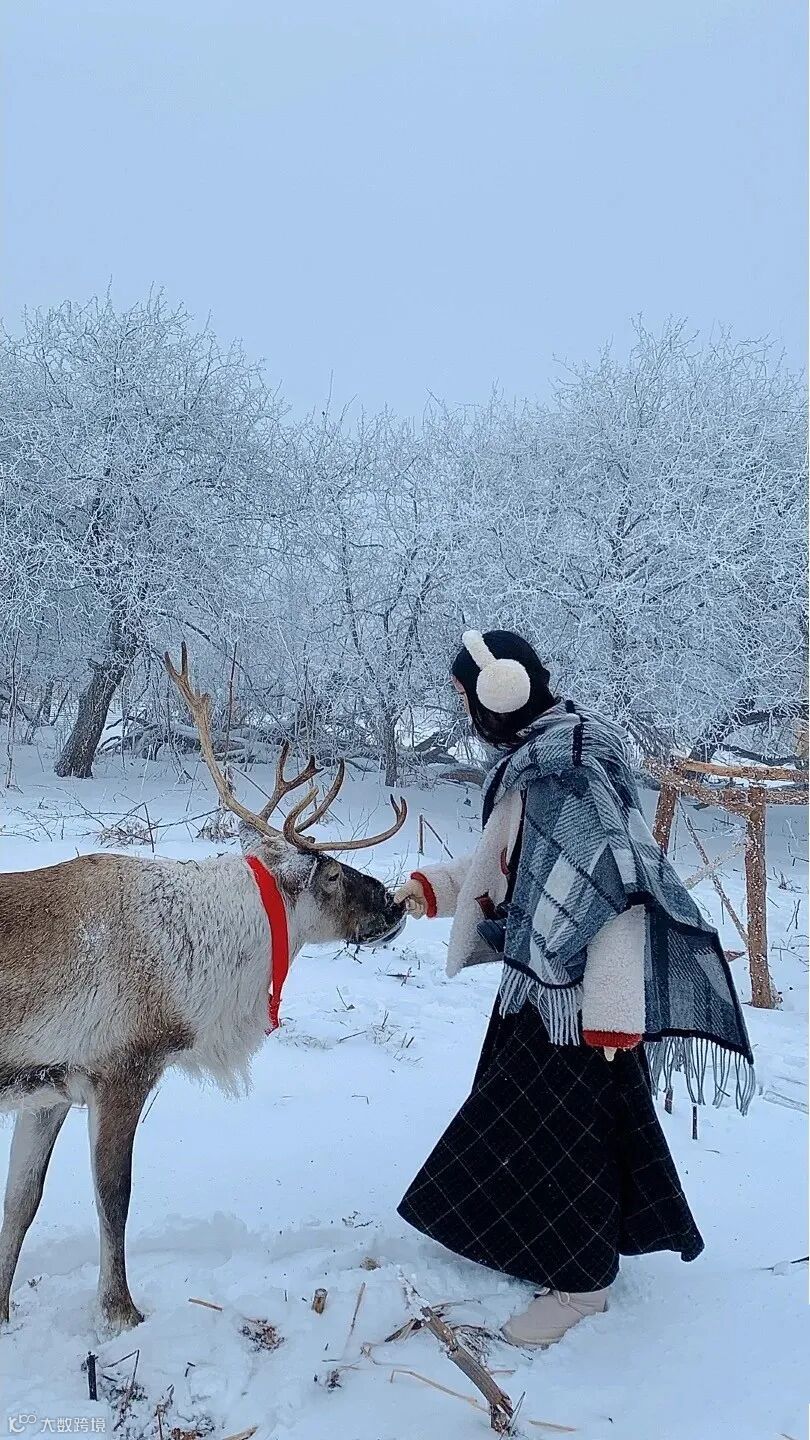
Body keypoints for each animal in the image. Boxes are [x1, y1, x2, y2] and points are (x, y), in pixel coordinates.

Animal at [0, 644, 407, 1333]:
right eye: (329, 873)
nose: (395, 903)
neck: (195, 953)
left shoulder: (47, 1088)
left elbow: (21, 1204)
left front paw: (2, 1309)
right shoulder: (123, 1069)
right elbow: (114, 1195)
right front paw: (121, 1311)